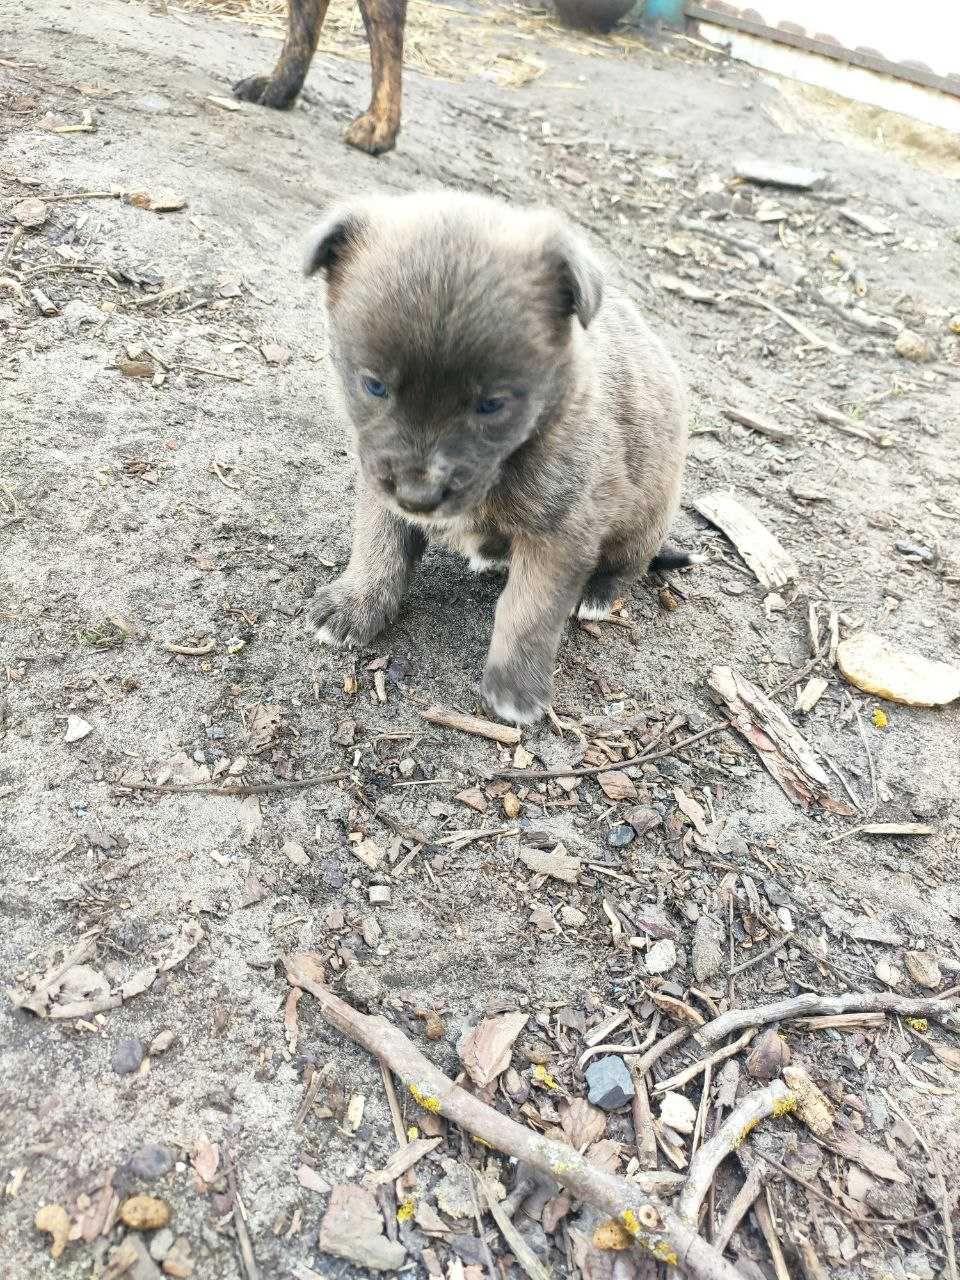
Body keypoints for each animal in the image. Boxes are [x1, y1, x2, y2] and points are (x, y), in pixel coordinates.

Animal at [308, 193, 691, 727]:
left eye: (492, 405)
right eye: (374, 385)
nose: (418, 497)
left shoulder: (562, 535)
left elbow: (529, 612)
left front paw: (516, 687)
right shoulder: (378, 482)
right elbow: (377, 545)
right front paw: (354, 604)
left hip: (645, 520)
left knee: (628, 566)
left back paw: (598, 593)